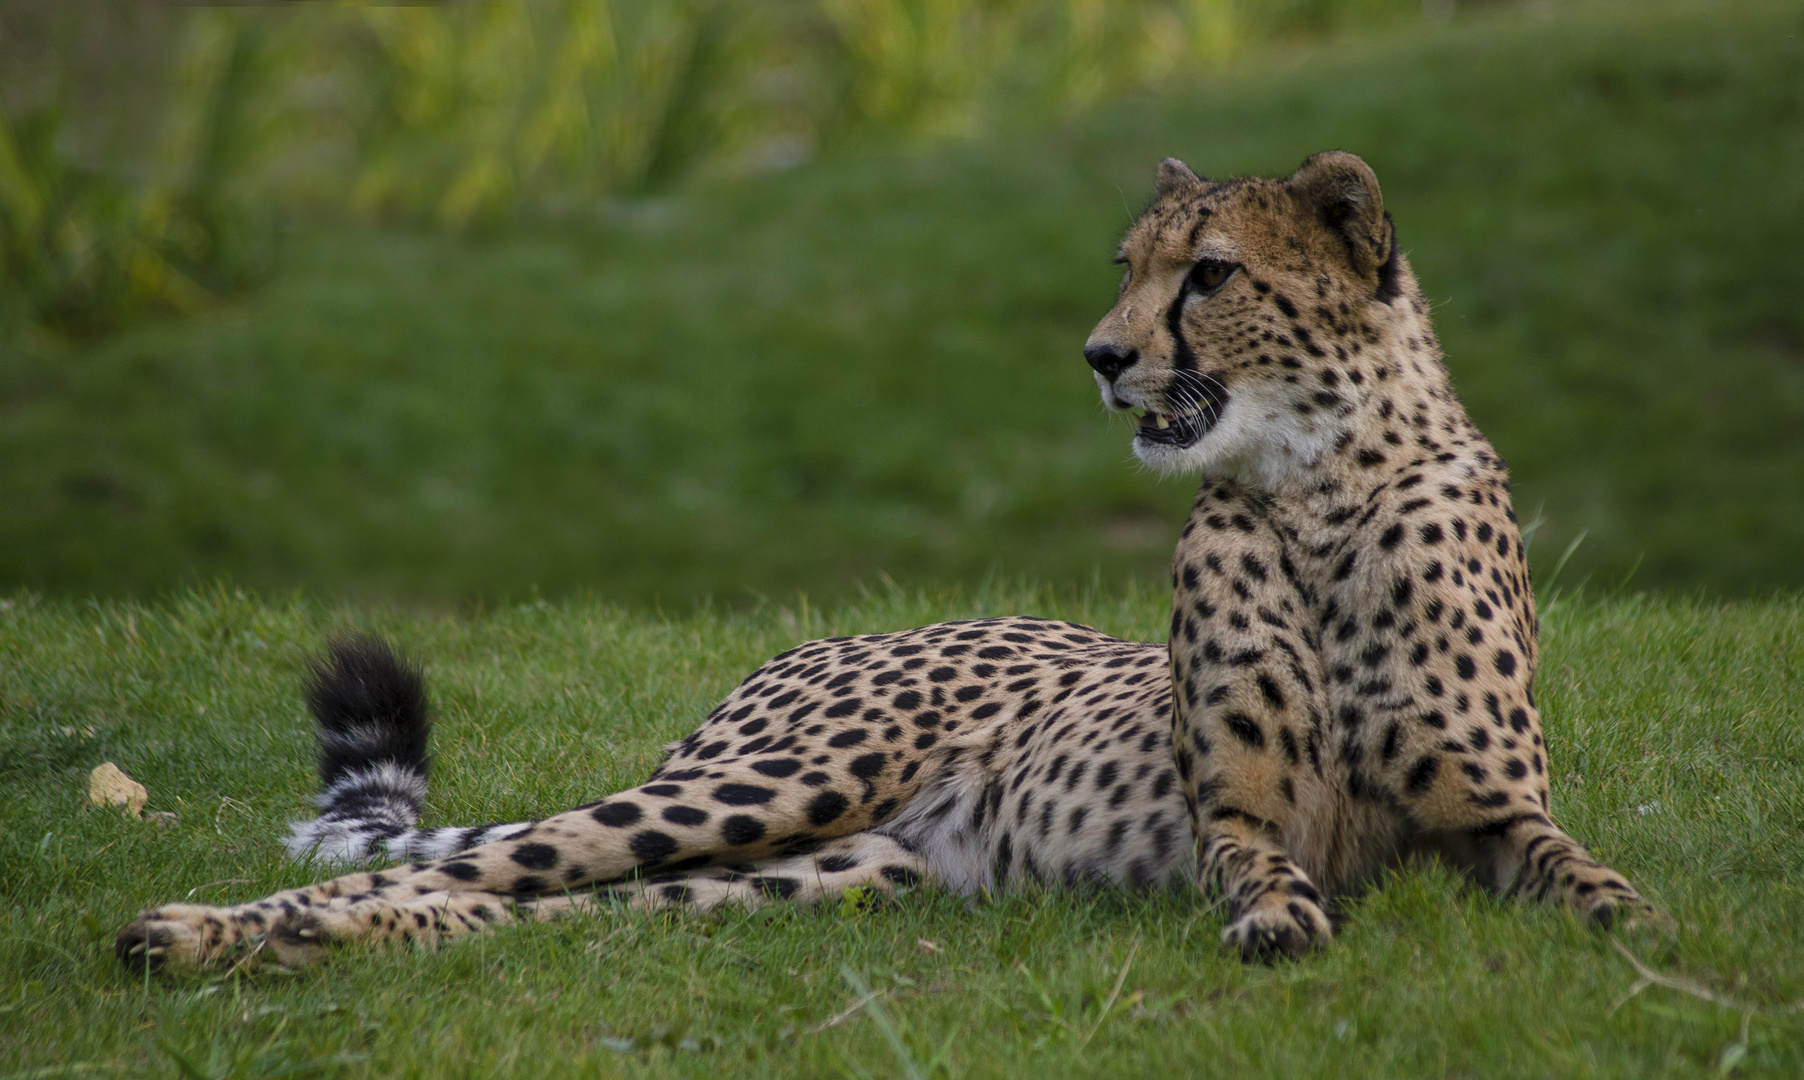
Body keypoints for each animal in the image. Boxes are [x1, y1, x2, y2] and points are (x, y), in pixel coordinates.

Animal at [119, 149, 1652, 973]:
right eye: (1127, 267)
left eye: (1210, 274)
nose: (1101, 357)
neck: (1315, 489)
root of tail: (825, 634)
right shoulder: (1235, 815)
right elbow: (1260, 867)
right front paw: (1280, 923)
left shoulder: (1484, 811)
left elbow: (1572, 863)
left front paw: (1630, 918)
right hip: (774, 787)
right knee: (473, 867)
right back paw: (189, 930)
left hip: (841, 869)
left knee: (541, 905)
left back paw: (291, 946)